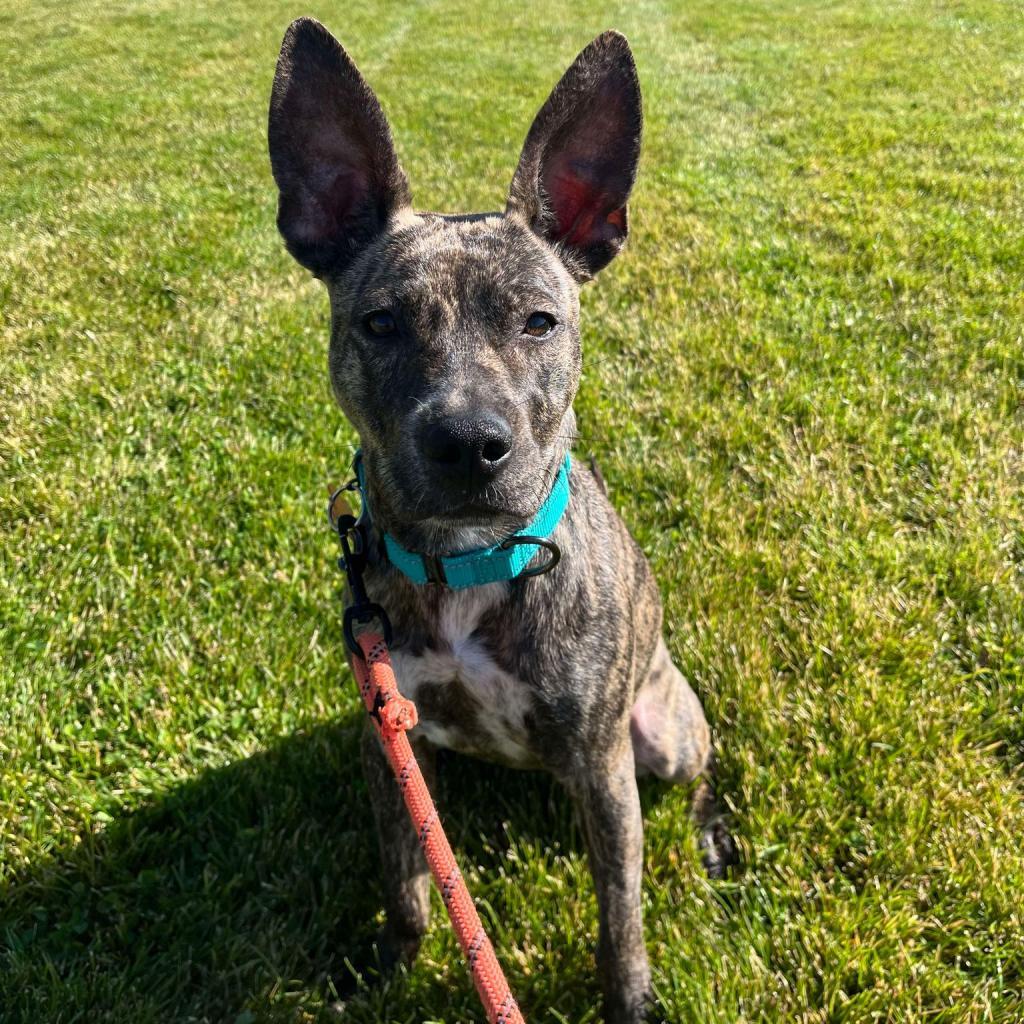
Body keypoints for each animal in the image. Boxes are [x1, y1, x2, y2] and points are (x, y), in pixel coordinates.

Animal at [270, 18, 737, 1024]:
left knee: (700, 776)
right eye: (380, 323)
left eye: (539, 321)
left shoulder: (604, 769)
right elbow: (408, 881)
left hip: (663, 735)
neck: (468, 565)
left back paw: (715, 837)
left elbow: (621, 913)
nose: (469, 442)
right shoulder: (387, 745)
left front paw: (631, 1000)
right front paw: (392, 963)